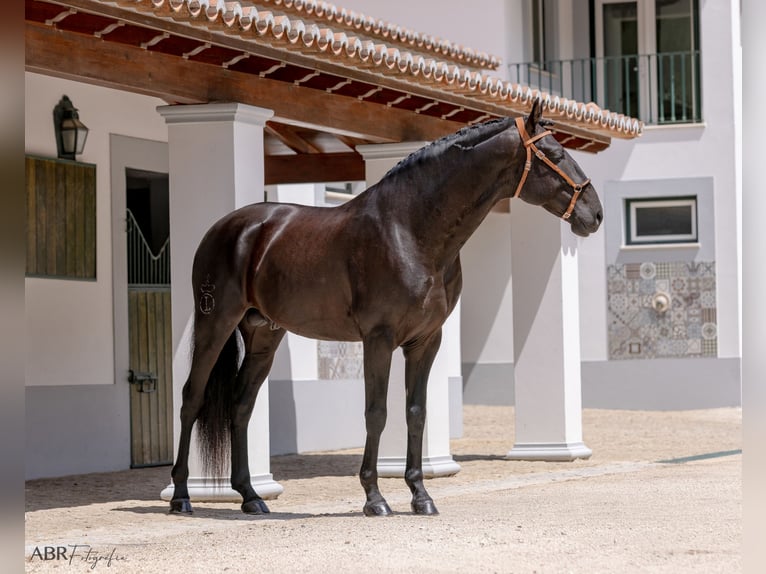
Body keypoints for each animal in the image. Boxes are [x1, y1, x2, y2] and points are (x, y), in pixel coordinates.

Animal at [170, 99, 608, 516]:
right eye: (555, 153)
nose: (596, 213)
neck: (411, 231)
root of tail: (228, 228)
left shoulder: (426, 340)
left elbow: (416, 411)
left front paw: (420, 495)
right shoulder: (378, 339)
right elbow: (376, 413)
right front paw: (374, 498)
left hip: (264, 334)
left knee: (241, 405)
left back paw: (250, 496)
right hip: (215, 322)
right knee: (192, 396)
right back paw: (181, 496)